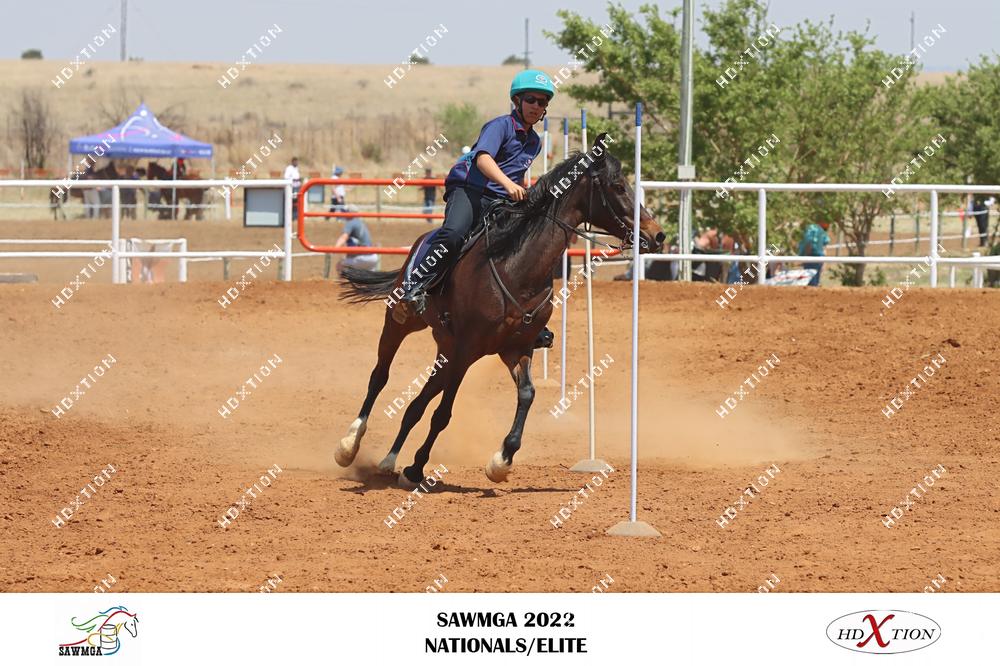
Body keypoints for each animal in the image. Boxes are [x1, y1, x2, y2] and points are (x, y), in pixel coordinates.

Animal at [336, 132, 665, 487]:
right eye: (618, 186)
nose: (657, 234)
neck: (517, 267)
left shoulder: (514, 348)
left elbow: (527, 394)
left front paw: (501, 460)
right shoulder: (467, 349)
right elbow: (443, 413)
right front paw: (417, 467)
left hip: (446, 349)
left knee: (415, 404)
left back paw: (389, 461)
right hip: (401, 323)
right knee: (379, 377)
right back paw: (349, 444)